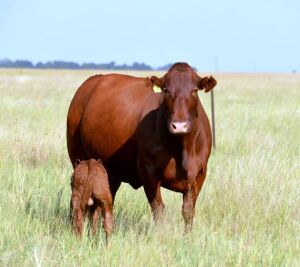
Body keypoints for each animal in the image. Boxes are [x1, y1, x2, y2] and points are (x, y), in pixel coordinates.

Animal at [67, 62, 217, 232]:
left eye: (195, 90)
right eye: (166, 90)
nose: (179, 125)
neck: (182, 150)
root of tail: (91, 81)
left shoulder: (199, 173)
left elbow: (188, 210)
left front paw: (187, 236)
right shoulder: (148, 171)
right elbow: (158, 209)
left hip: (110, 172)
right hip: (79, 159)